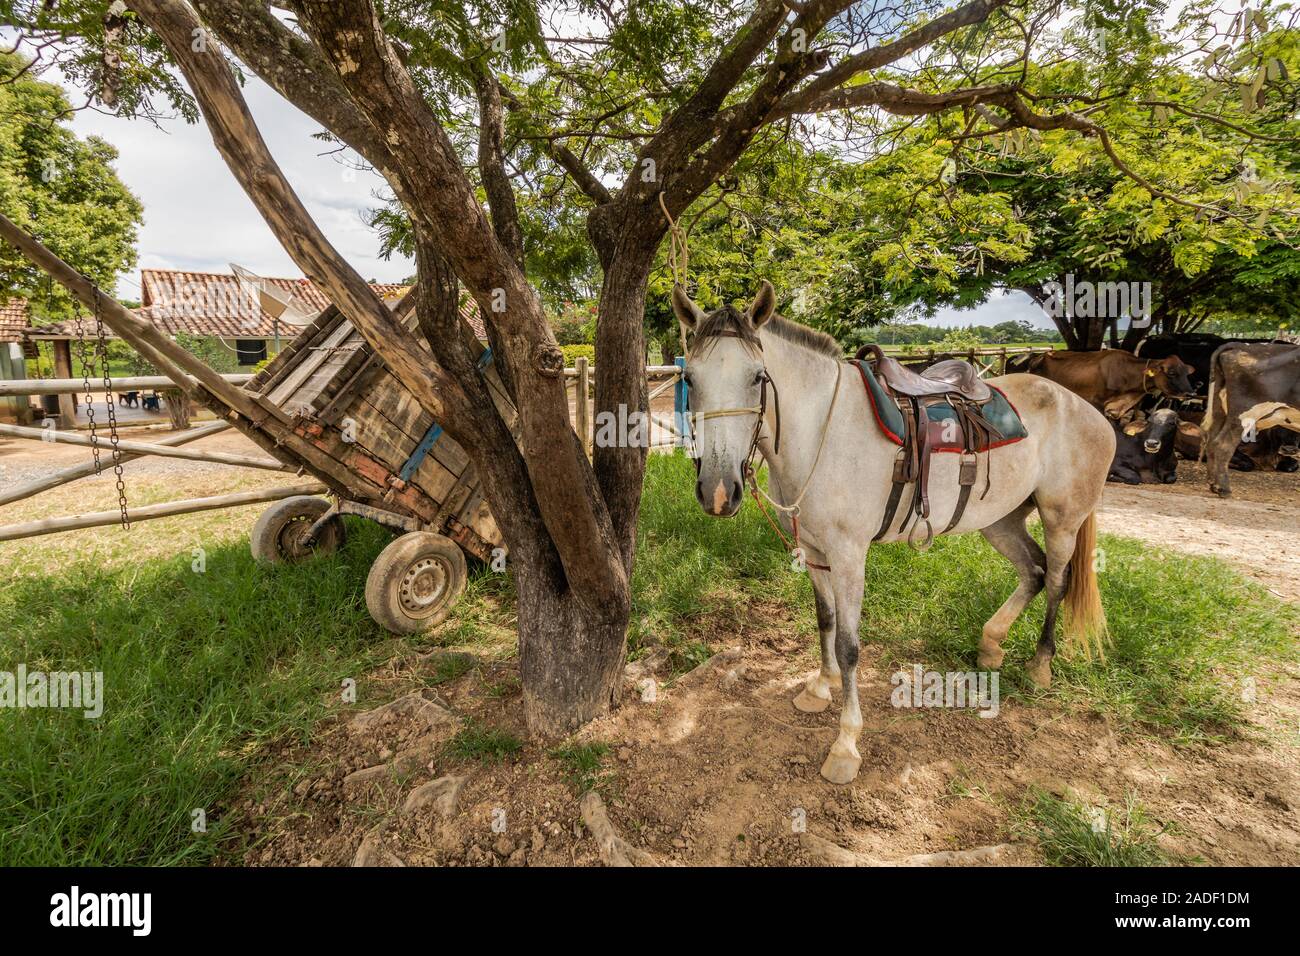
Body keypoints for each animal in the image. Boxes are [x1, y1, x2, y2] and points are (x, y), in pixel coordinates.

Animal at [676, 282, 1112, 785]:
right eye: (692, 380)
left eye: (757, 377)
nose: (719, 491)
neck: (820, 431)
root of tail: (1086, 409)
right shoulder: (813, 550)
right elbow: (825, 620)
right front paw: (819, 688)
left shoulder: (849, 555)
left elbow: (849, 645)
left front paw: (846, 744)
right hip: (999, 521)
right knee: (1033, 572)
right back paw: (990, 646)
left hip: (1063, 520)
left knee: (1057, 580)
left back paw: (1040, 665)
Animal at [1201, 343, 1300, 496]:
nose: (1289, 449)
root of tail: (1241, 345)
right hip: (1244, 413)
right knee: (1223, 444)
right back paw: (1223, 489)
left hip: (1220, 410)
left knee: (1211, 440)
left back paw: (1213, 484)